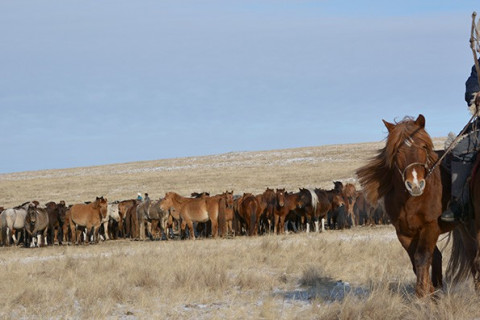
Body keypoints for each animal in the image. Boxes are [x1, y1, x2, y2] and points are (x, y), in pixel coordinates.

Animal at [356, 115, 454, 298]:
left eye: (423, 146)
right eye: (397, 151)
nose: (415, 184)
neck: (412, 201)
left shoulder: (430, 227)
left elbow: (422, 257)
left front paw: (422, 295)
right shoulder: (404, 232)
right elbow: (416, 262)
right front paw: (429, 294)